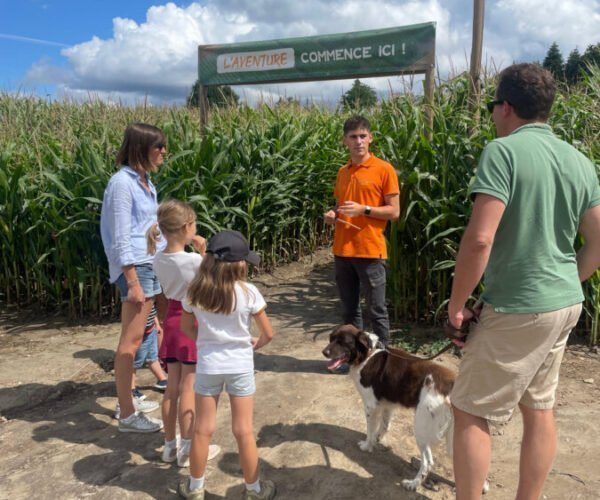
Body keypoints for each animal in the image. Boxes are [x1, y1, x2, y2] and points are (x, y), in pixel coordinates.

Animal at [324, 324, 488, 492]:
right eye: (331, 339)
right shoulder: (386, 404)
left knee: (428, 462)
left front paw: (367, 445)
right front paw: (377, 439)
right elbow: (384, 426)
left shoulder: (371, 406)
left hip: (421, 428)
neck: (367, 355)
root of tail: (451, 385)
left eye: (342, 342)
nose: (324, 352)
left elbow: (370, 430)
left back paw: (413, 483)